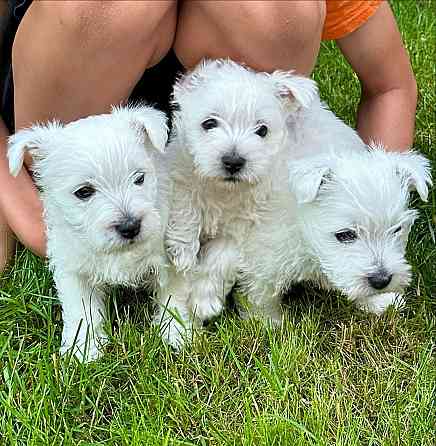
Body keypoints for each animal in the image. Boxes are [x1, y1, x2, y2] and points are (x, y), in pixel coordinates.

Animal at [8, 105, 170, 362]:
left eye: (139, 178)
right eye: (84, 192)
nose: (130, 226)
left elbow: (175, 295)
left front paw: (176, 334)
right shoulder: (73, 270)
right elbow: (81, 310)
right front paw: (83, 351)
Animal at [158, 58, 320, 344]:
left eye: (262, 130)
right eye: (209, 123)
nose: (233, 162)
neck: (224, 191)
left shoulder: (251, 226)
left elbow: (223, 253)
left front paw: (204, 300)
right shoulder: (180, 173)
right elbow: (185, 204)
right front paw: (183, 250)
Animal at [240, 145, 430, 322]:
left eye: (397, 229)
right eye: (345, 235)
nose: (381, 281)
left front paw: (379, 301)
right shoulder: (263, 258)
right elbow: (262, 294)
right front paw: (268, 322)